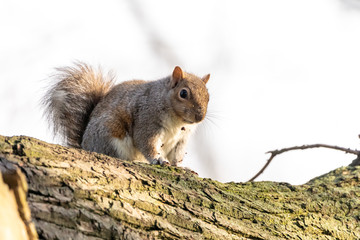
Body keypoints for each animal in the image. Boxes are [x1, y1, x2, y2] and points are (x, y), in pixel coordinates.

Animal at [43, 62, 210, 166]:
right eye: (183, 93)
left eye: (208, 96)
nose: (199, 117)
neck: (178, 121)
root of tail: (84, 144)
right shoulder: (147, 120)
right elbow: (147, 142)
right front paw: (158, 159)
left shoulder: (181, 138)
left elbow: (177, 154)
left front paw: (180, 166)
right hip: (111, 132)